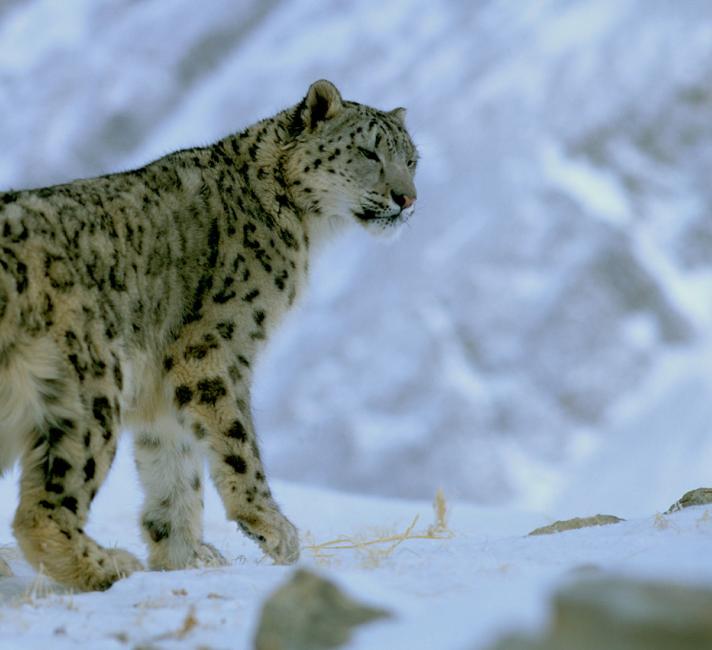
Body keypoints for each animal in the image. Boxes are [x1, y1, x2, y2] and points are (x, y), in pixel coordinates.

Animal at [0, 79, 418, 588]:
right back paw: (109, 566)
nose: (407, 199)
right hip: (89, 386)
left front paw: (185, 553)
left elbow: (174, 467)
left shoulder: (161, 385)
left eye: (411, 159)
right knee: (42, 509)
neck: (304, 231)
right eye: (368, 152)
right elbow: (237, 440)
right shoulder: (213, 350)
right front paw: (275, 531)